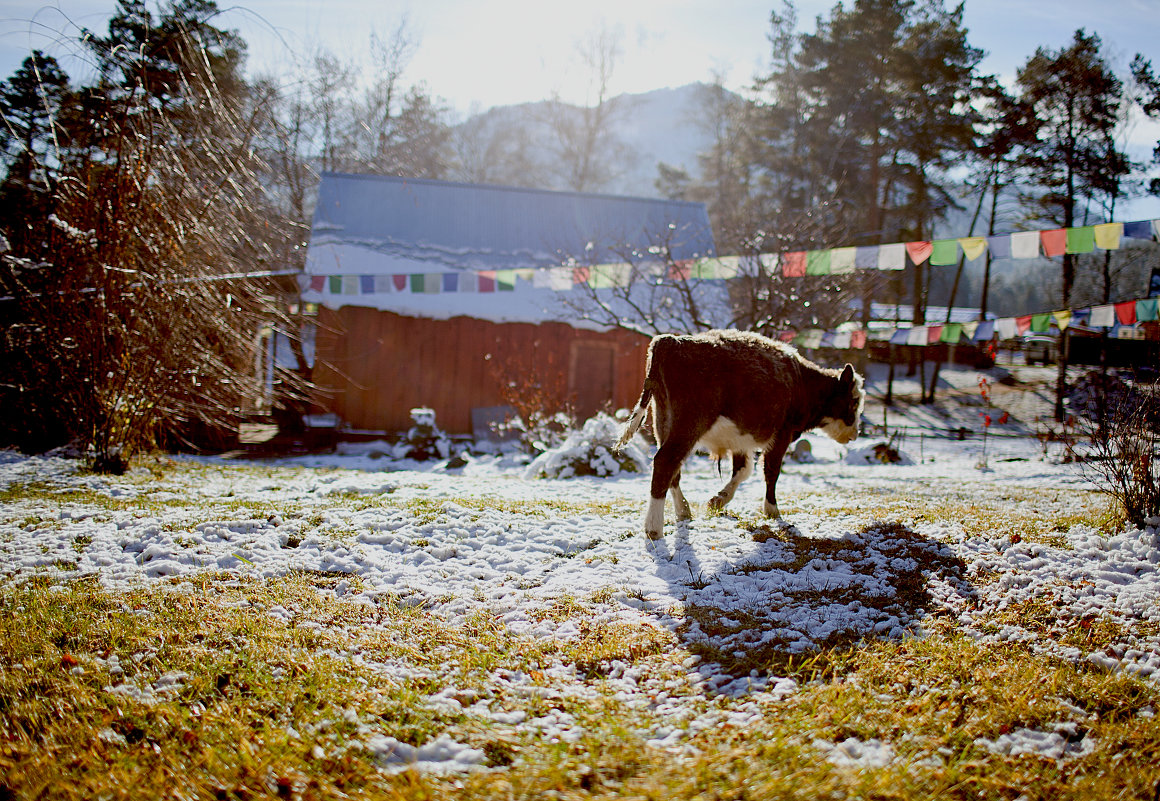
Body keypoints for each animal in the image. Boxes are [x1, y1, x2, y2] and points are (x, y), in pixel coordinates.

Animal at [617, 329, 863, 542]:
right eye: (853, 402)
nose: (855, 433)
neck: (801, 382)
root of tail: (669, 341)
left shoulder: (740, 440)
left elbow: (743, 470)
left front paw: (718, 500)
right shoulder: (782, 434)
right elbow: (770, 471)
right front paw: (772, 510)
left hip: (663, 422)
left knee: (672, 469)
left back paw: (684, 511)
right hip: (688, 424)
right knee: (665, 462)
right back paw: (654, 528)